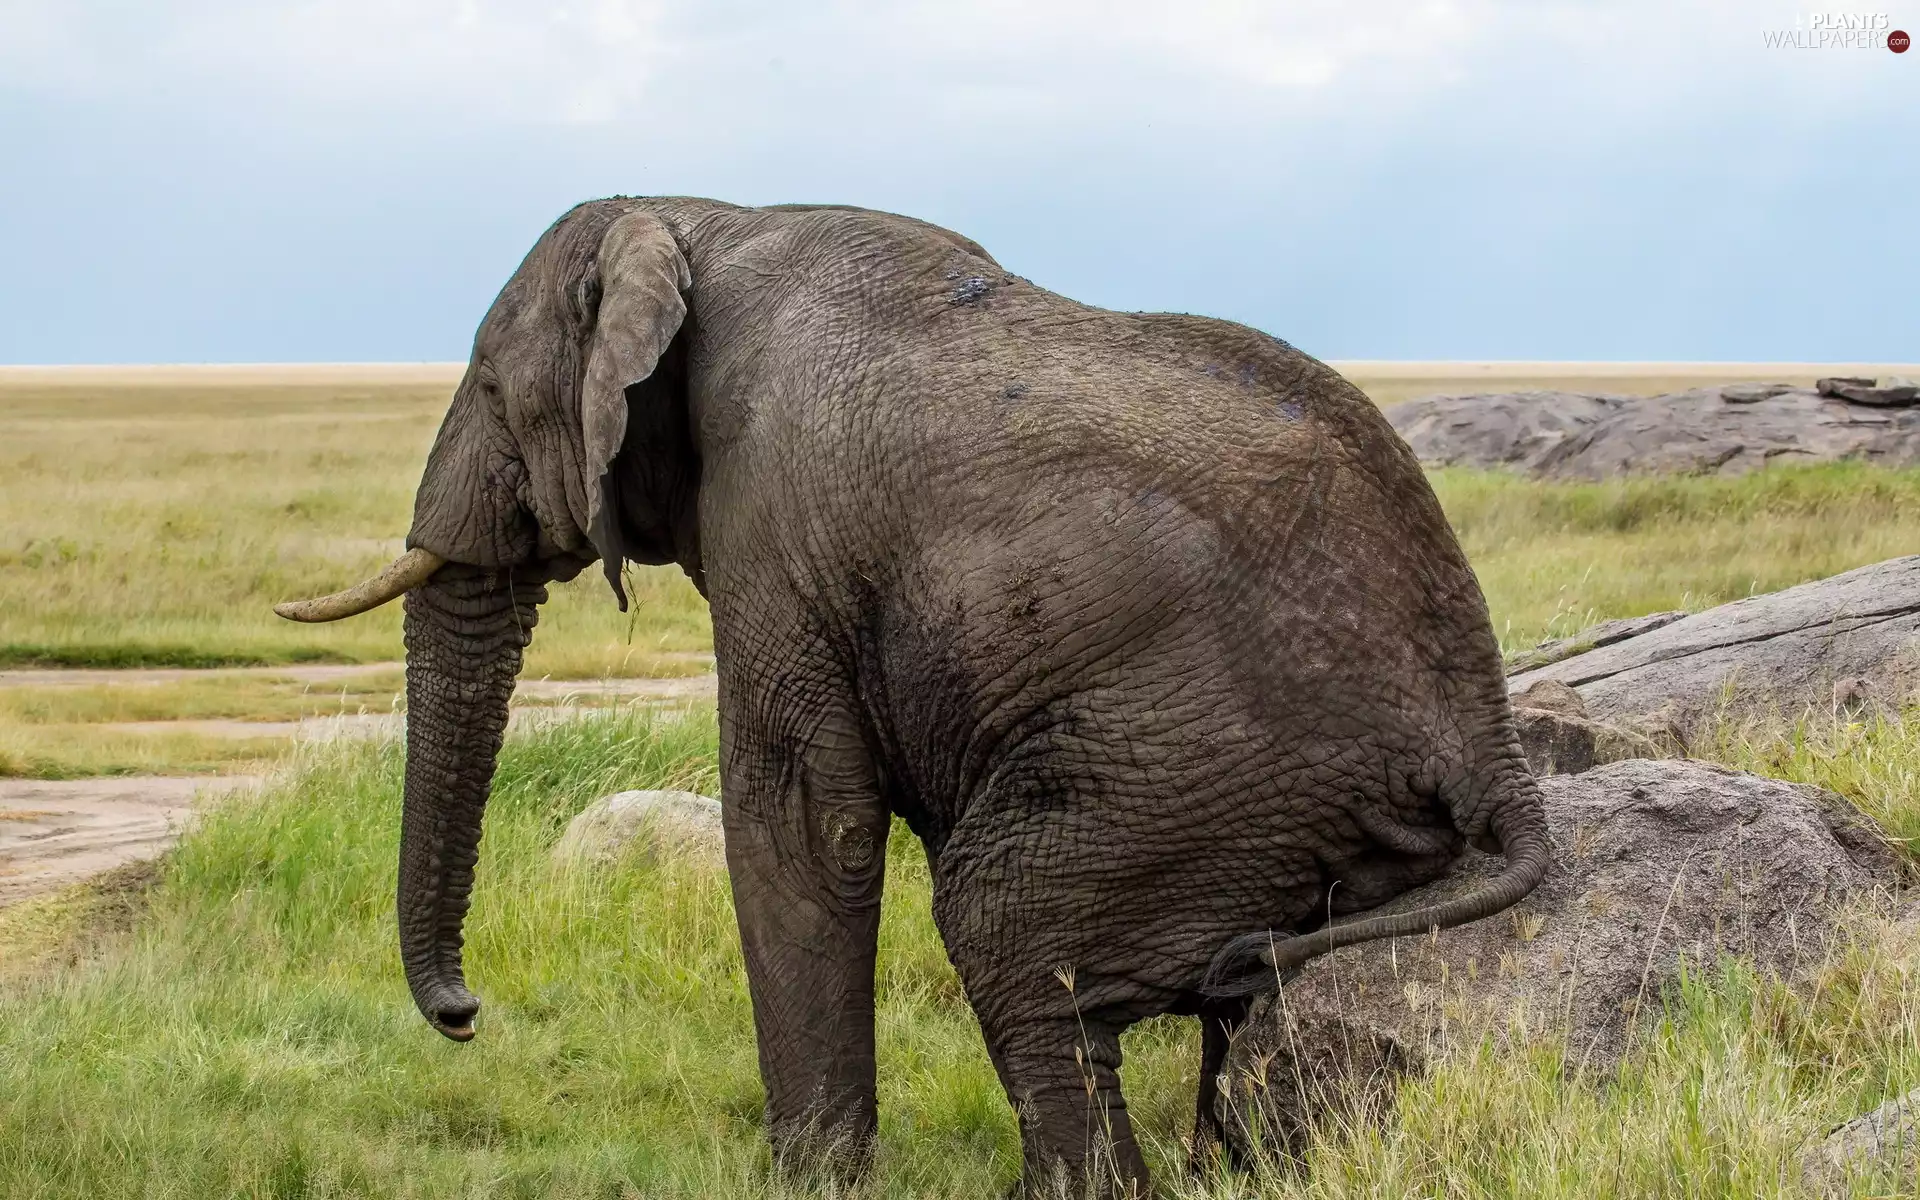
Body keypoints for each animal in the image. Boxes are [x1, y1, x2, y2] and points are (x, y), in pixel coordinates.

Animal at [275, 196, 1550, 1197]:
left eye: (491, 385)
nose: (465, 1015)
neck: (699, 217)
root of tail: (1494, 748)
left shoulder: (774, 515)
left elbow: (801, 814)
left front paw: (812, 1180)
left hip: (1204, 769)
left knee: (1004, 918)